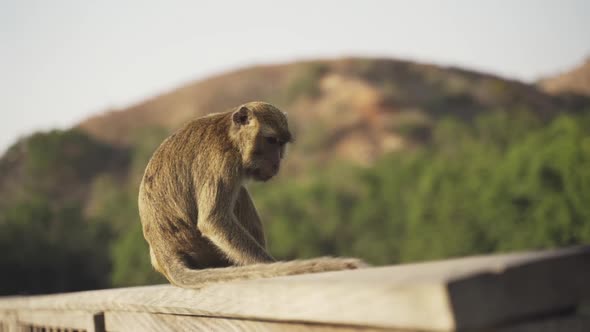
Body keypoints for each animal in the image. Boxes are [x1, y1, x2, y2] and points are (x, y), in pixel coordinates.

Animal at [138, 100, 366, 288]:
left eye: (281, 143)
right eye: (271, 141)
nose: (276, 162)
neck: (230, 136)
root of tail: (164, 250)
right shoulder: (223, 161)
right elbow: (213, 220)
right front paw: (269, 265)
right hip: (202, 248)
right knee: (240, 193)